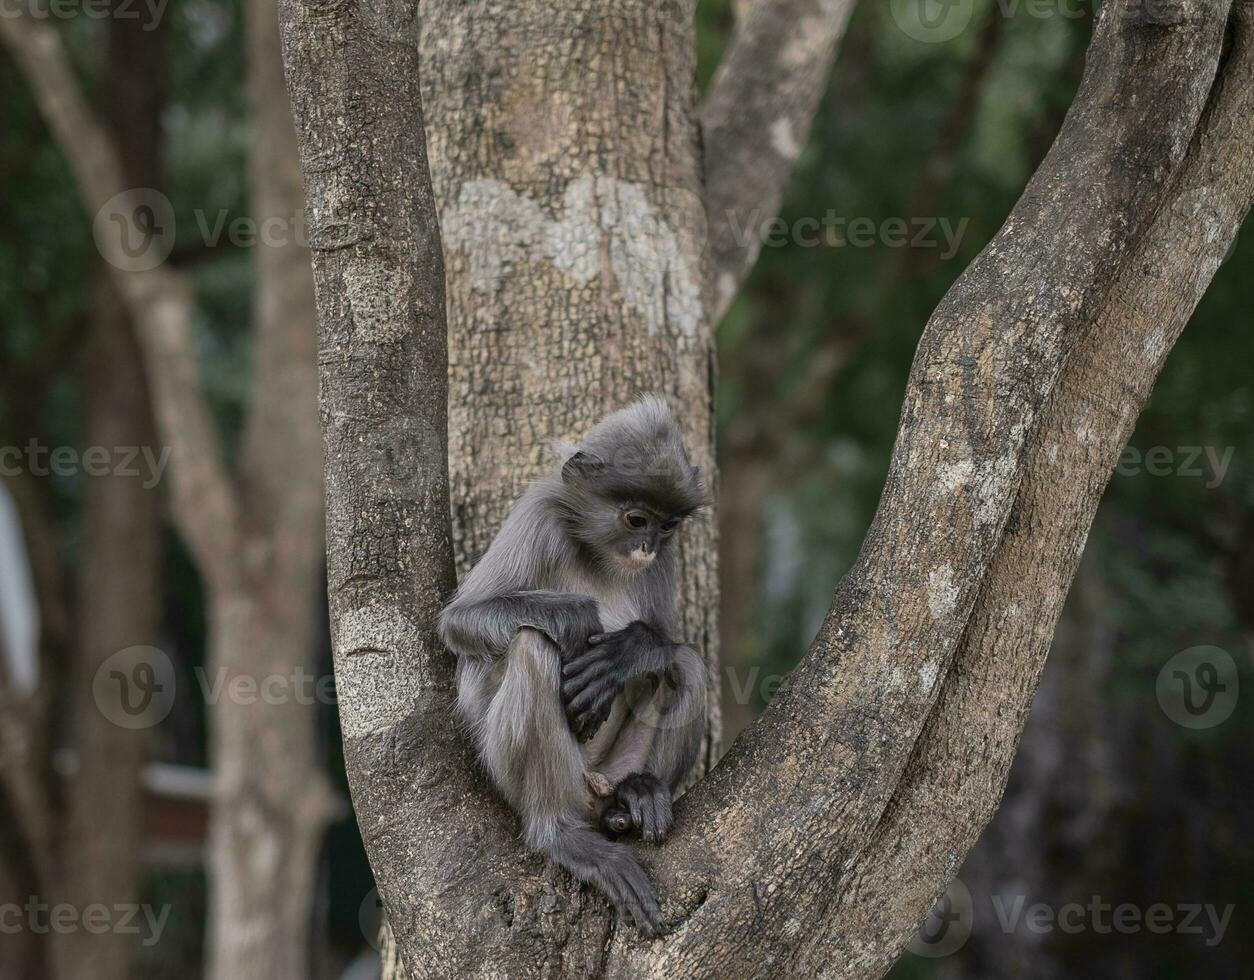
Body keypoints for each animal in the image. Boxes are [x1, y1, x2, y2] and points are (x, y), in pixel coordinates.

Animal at [438, 394, 712, 928]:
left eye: (666, 525)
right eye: (635, 520)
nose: (647, 548)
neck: (599, 554)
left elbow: (664, 639)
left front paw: (631, 650)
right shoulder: (539, 516)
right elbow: (458, 622)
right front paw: (573, 620)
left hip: (615, 762)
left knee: (685, 662)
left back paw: (636, 794)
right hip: (516, 770)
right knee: (532, 645)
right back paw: (559, 833)